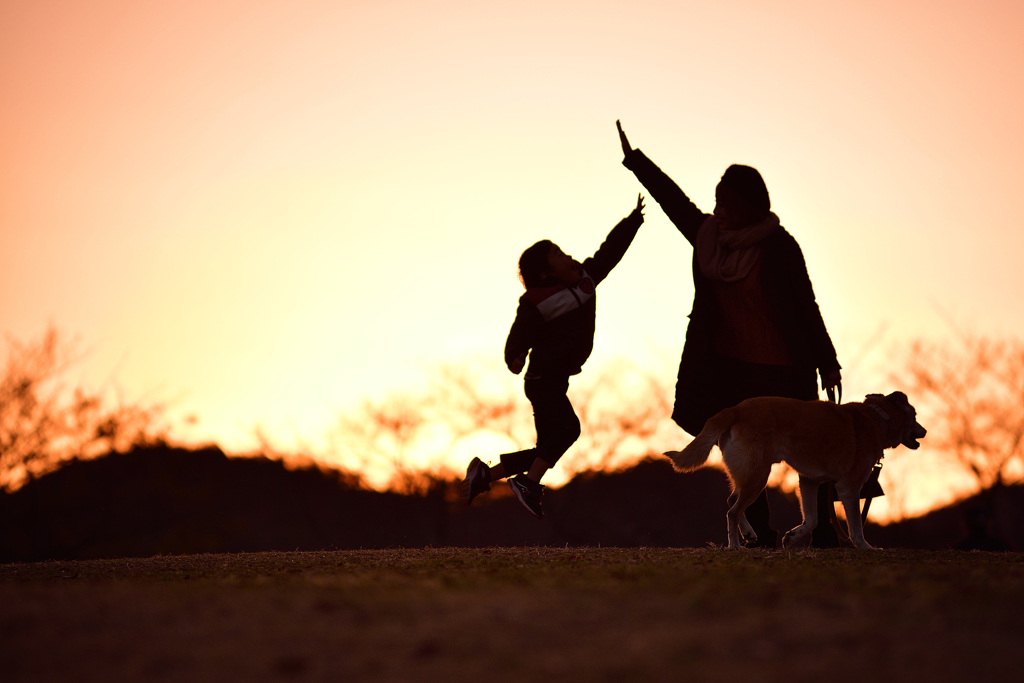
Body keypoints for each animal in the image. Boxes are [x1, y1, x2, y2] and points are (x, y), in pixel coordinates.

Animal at [663, 393, 929, 548]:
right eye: (915, 414)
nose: (925, 431)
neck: (878, 418)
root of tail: (735, 409)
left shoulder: (809, 481)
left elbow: (811, 519)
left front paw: (791, 537)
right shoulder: (849, 487)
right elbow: (856, 526)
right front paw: (865, 547)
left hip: (749, 473)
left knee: (731, 502)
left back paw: (748, 534)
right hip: (759, 475)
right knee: (732, 511)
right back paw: (735, 546)